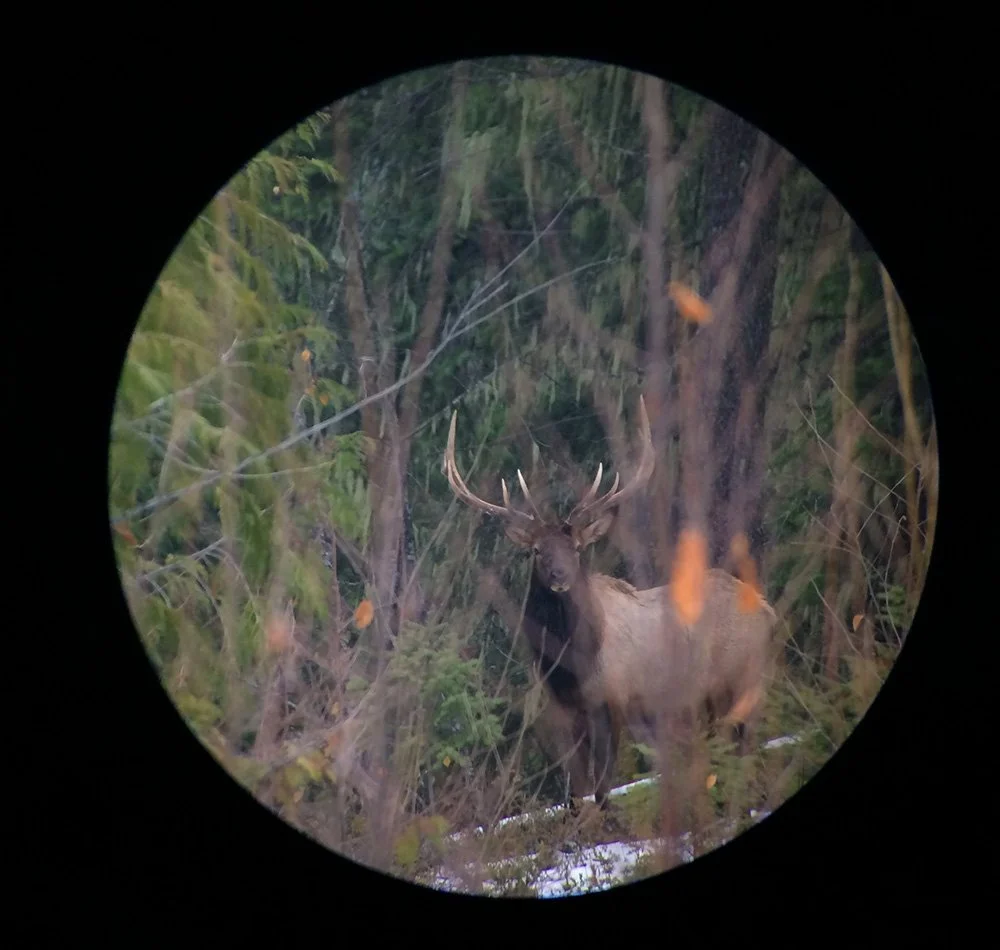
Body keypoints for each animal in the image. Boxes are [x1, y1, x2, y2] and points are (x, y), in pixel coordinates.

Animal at [443, 396, 778, 814]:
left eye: (577, 547)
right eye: (536, 551)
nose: (560, 576)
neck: (570, 664)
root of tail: (768, 611)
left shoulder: (612, 700)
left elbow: (603, 790)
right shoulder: (563, 708)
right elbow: (574, 792)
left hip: (739, 681)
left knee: (744, 748)